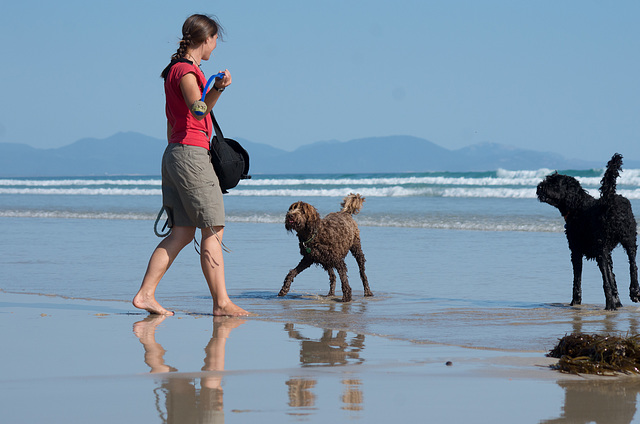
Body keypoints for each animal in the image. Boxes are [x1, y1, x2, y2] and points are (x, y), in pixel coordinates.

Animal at [536, 154, 636, 310]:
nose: (539, 186)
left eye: (554, 183)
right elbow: (613, 278)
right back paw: (634, 291)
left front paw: (575, 302)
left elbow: (577, 280)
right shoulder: (608, 254)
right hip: (629, 239)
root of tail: (609, 200)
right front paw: (618, 302)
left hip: (602, 249)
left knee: (606, 281)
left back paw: (609, 305)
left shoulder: (576, 251)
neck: (578, 205)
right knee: (633, 265)